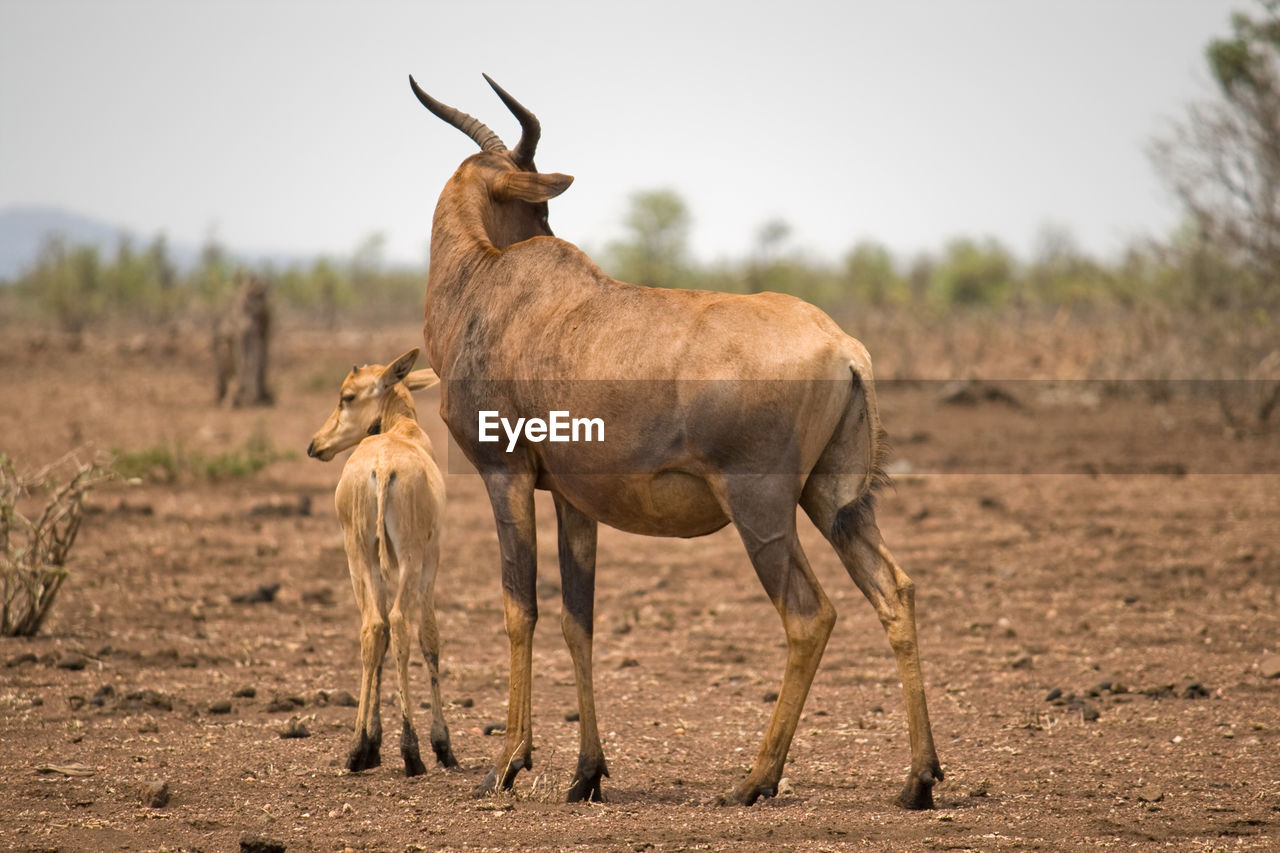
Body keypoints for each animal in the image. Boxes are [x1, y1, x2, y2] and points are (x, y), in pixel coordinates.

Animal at [307, 348, 458, 773]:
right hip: (409, 558)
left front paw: (372, 743)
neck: (401, 431)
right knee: (400, 622)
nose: (315, 445)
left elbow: (383, 634)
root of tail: (382, 466)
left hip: (358, 554)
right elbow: (429, 636)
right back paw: (412, 751)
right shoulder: (431, 560)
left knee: (374, 627)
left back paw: (358, 747)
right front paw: (442, 745)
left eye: (347, 396)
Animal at [409, 73, 942, 804]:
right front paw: (585, 773)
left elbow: (521, 608)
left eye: (538, 207)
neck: (495, 290)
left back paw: (754, 780)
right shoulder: (573, 497)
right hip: (834, 499)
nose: (548, 228)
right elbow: (578, 618)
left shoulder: (505, 475)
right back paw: (918, 779)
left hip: (761, 508)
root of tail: (844, 347)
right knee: (895, 592)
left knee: (809, 615)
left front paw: (506, 763)